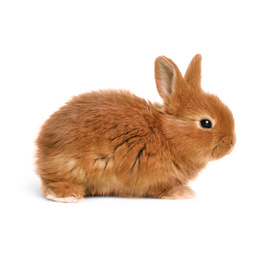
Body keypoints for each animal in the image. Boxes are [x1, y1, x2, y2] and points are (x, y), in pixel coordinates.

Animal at [34, 53, 236, 202]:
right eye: (206, 123)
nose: (232, 143)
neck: (167, 134)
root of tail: (41, 149)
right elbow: (162, 190)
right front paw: (183, 193)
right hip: (70, 168)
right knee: (50, 185)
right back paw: (69, 196)